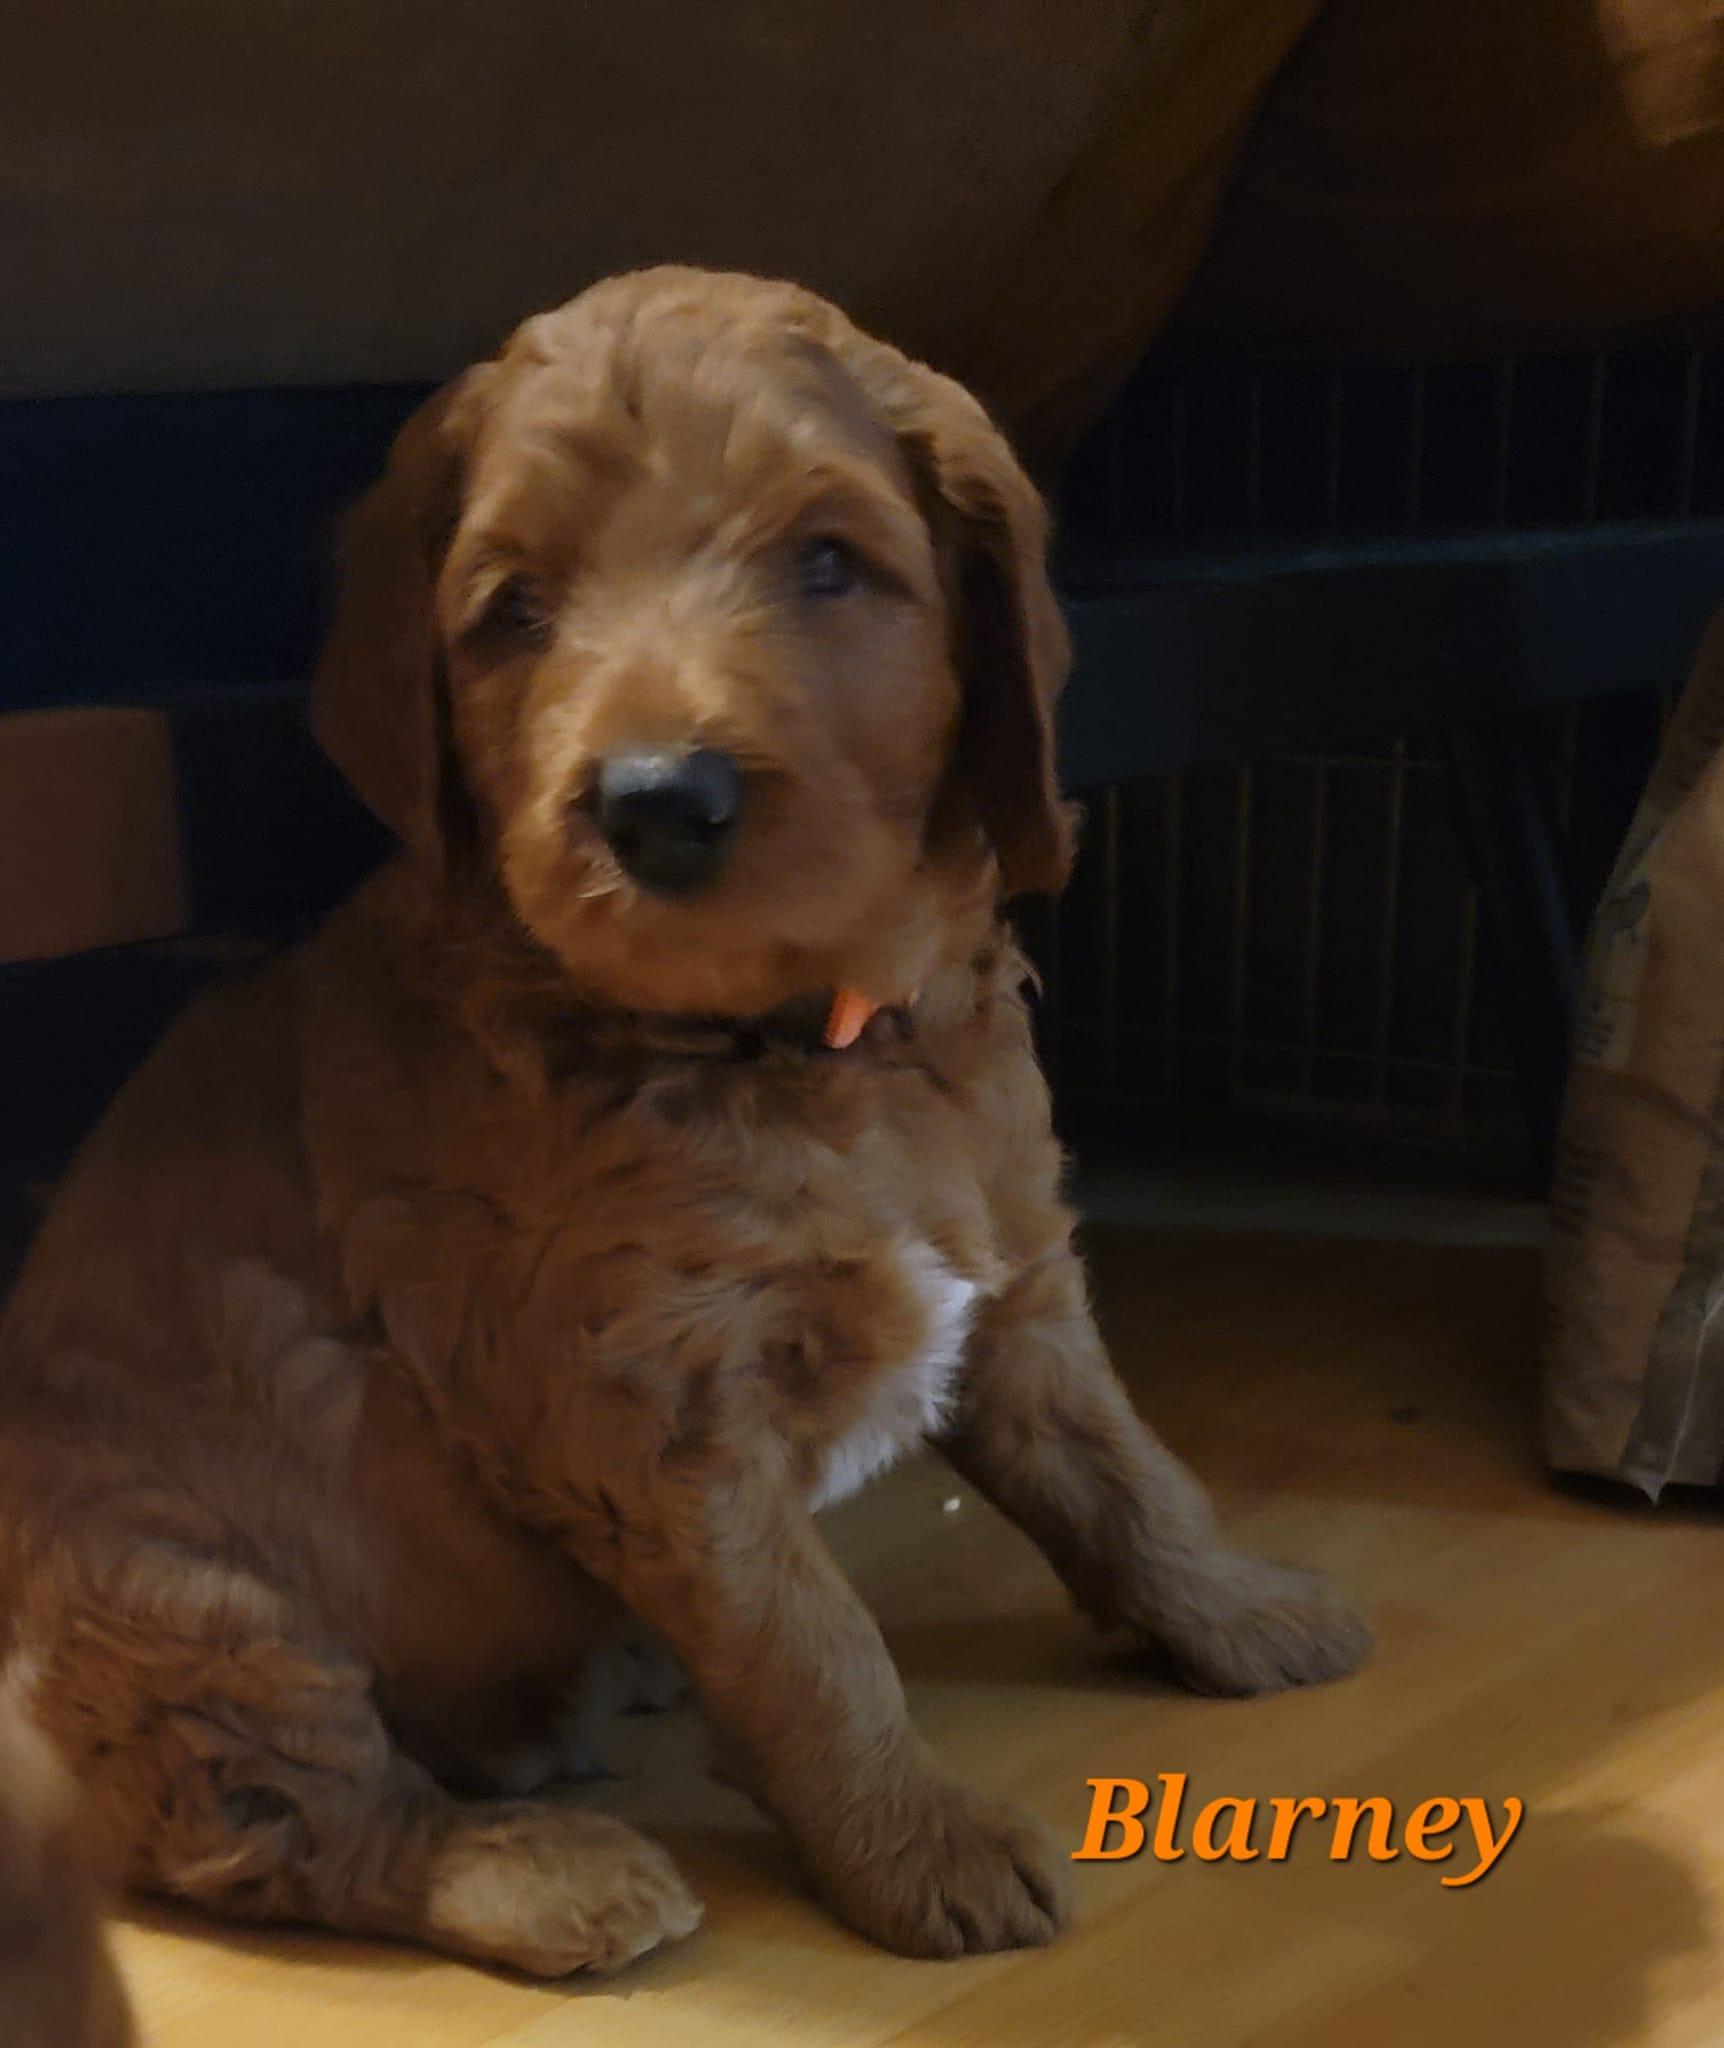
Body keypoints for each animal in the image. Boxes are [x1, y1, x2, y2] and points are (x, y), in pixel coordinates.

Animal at [0, 268, 1368, 1976]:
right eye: (512, 609)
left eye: (831, 562)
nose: (658, 802)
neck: (804, 1051)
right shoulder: (649, 1409)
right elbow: (812, 1642)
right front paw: (923, 1843)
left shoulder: (1016, 1282)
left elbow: (1122, 1470)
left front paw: (1240, 1610)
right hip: (183, 1600)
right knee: (294, 1825)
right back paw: (542, 1868)